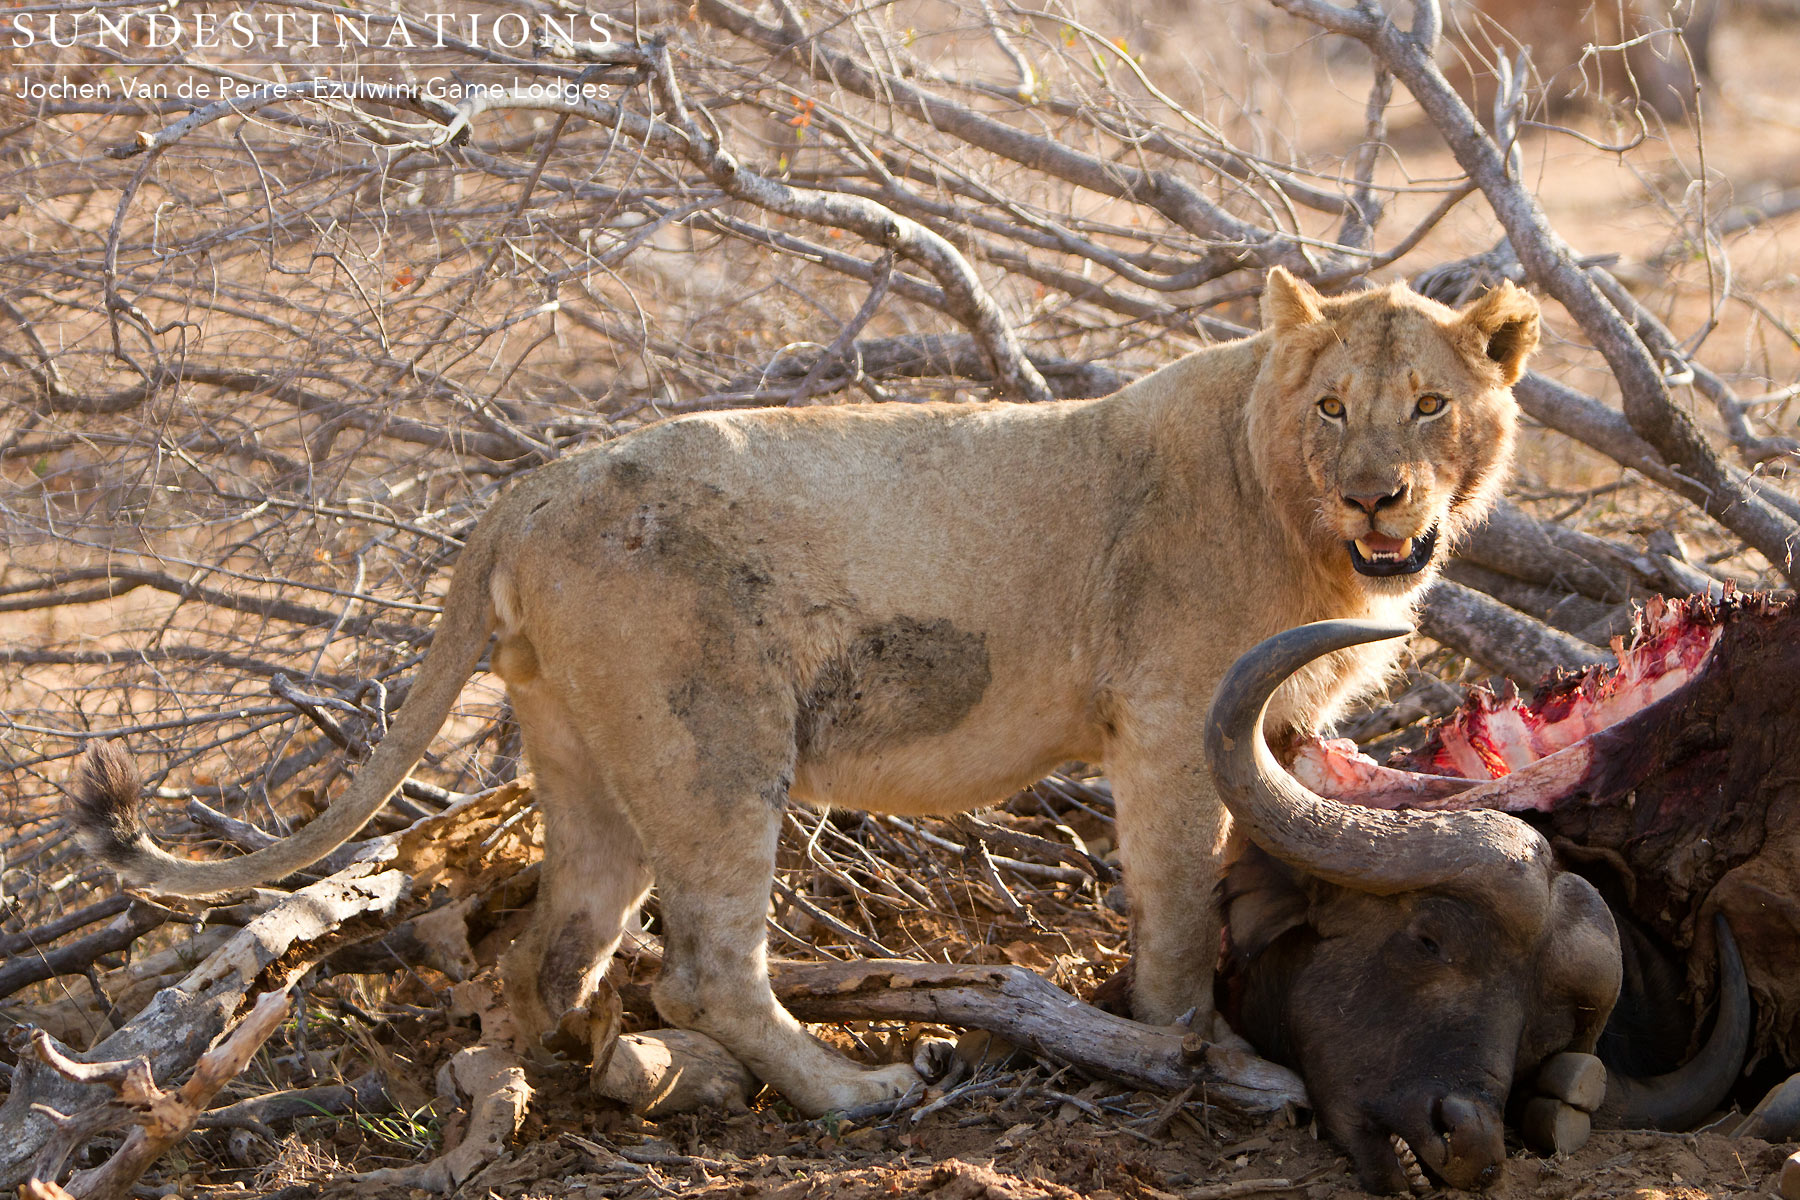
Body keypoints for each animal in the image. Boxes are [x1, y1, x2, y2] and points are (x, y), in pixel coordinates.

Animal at [73, 267, 1537, 1116]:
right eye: (1334, 408)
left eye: (1428, 405)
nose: (1378, 497)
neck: (1292, 516)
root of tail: (525, 490)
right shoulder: (1174, 725)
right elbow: (1184, 911)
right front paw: (1203, 1056)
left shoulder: (1262, 726)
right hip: (715, 745)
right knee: (706, 970)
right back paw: (853, 1091)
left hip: (586, 757)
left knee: (556, 948)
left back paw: (547, 1083)